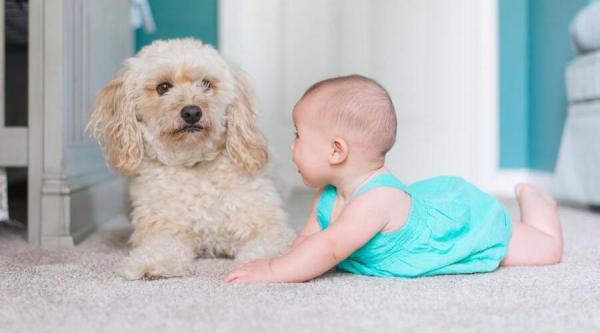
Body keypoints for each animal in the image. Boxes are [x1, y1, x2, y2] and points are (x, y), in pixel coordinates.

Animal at [88, 37, 294, 278]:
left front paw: (260, 265)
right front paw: (151, 263)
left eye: (206, 84)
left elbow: (268, 247)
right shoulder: (165, 230)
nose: (192, 112)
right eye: (163, 87)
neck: (194, 163)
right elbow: (160, 248)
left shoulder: (268, 227)